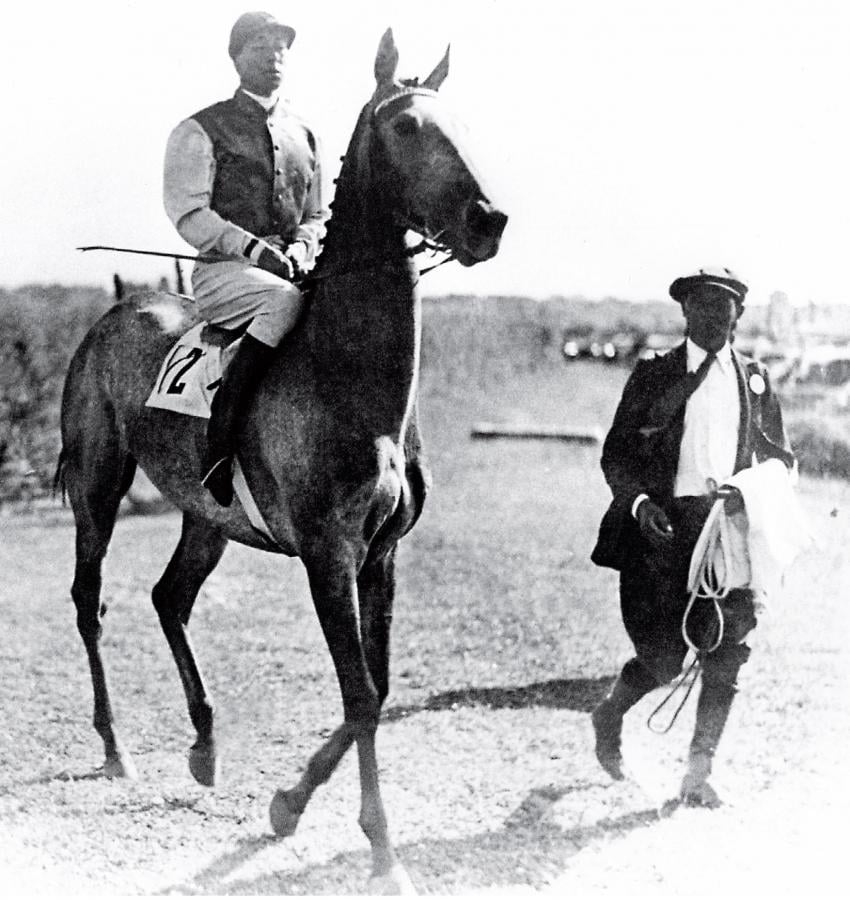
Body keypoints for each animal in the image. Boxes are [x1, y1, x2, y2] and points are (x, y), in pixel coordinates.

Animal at [56, 29, 506, 892]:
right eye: (406, 127)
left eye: (466, 122)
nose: (488, 220)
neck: (349, 374)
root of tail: (118, 308)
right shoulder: (328, 555)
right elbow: (360, 694)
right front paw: (382, 851)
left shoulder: (381, 557)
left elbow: (377, 687)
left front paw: (289, 804)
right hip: (100, 486)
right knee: (90, 601)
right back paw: (116, 748)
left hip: (207, 517)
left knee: (168, 598)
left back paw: (204, 745)